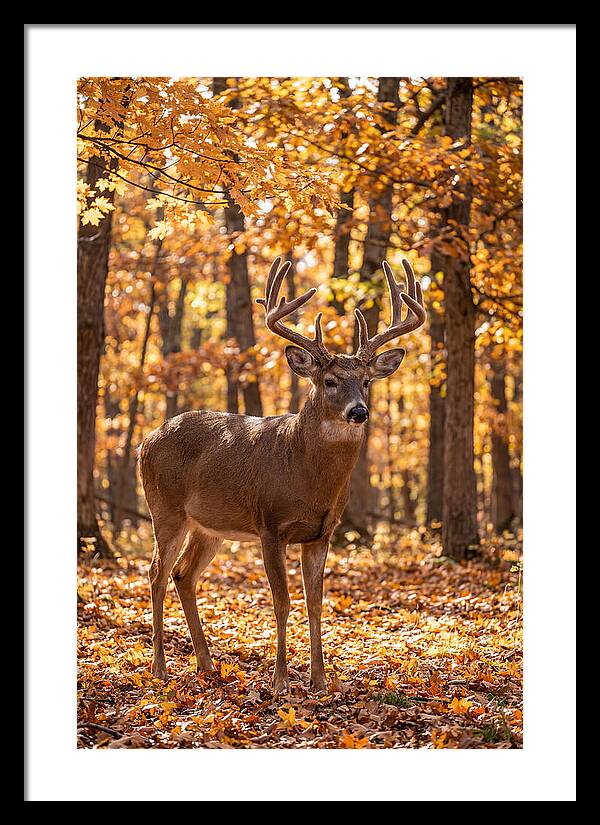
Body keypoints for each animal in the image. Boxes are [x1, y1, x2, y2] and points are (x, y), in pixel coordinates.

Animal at [139, 256, 426, 693]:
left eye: (366, 381)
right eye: (329, 381)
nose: (359, 411)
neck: (306, 476)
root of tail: (146, 441)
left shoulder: (322, 532)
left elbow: (315, 603)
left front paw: (320, 680)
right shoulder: (270, 524)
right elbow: (282, 601)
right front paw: (280, 682)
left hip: (209, 525)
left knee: (183, 574)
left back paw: (206, 664)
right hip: (165, 509)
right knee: (156, 572)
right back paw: (159, 668)